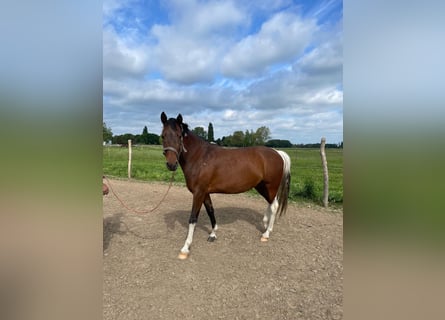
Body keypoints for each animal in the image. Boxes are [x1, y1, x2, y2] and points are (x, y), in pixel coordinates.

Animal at [160, 111, 292, 258]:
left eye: (179, 136)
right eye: (163, 135)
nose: (171, 164)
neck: (200, 157)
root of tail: (277, 153)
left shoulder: (199, 192)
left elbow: (193, 218)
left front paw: (185, 248)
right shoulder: (205, 192)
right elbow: (210, 211)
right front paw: (213, 234)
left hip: (270, 186)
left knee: (274, 206)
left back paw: (266, 234)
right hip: (261, 186)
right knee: (270, 203)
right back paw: (264, 224)